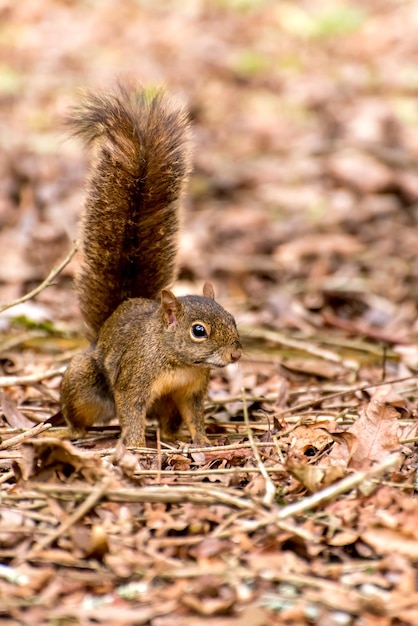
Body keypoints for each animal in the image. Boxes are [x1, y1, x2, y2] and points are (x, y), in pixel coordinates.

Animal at [61, 83, 243, 446]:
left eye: (232, 319)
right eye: (198, 331)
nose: (235, 355)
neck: (180, 362)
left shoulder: (190, 391)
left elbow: (195, 416)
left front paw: (203, 442)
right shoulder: (134, 380)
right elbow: (131, 411)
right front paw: (135, 446)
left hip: (167, 403)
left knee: (169, 420)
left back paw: (173, 437)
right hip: (85, 382)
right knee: (79, 407)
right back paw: (73, 430)